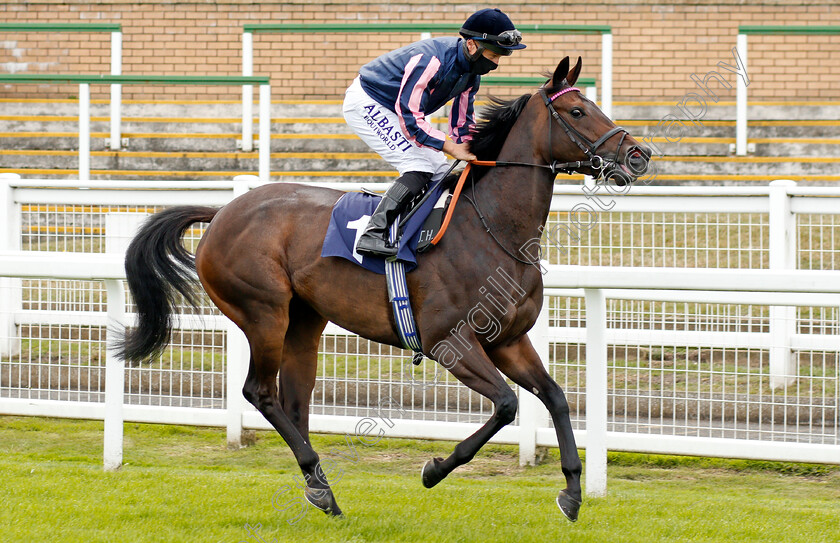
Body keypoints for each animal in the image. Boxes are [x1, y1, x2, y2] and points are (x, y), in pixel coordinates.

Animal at [116, 56, 648, 524]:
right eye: (577, 111)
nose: (638, 154)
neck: (492, 228)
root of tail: (222, 212)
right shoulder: (450, 342)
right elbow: (507, 405)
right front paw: (435, 469)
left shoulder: (509, 340)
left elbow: (555, 397)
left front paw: (572, 492)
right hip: (264, 312)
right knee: (260, 392)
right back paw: (319, 483)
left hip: (305, 320)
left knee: (294, 401)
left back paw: (319, 489)